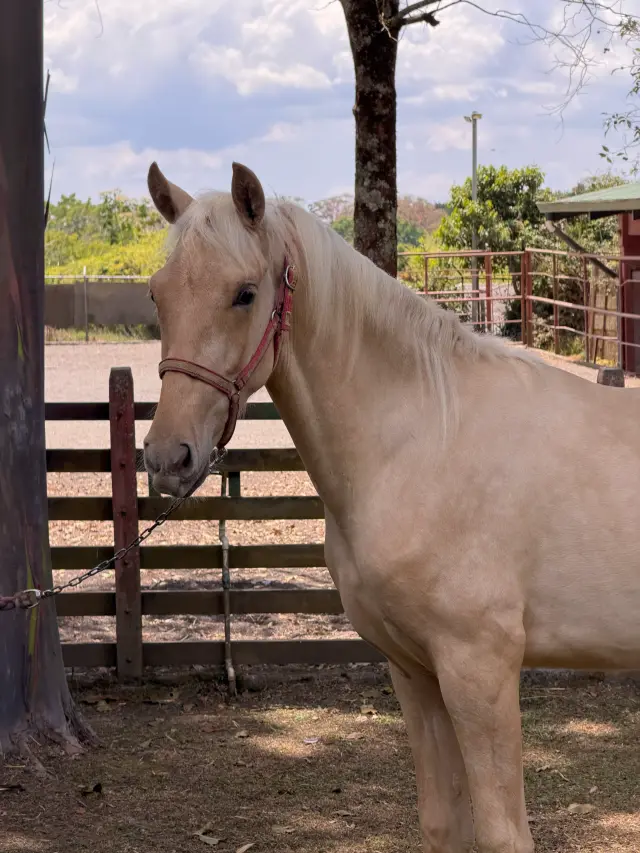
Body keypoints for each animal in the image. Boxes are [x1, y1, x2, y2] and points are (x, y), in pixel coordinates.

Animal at [142, 160, 640, 853]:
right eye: (157, 295)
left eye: (244, 293)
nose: (169, 458)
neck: (426, 439)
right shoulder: (415, 671)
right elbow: (443, 821)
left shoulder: (479, 671)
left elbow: (502, 832)